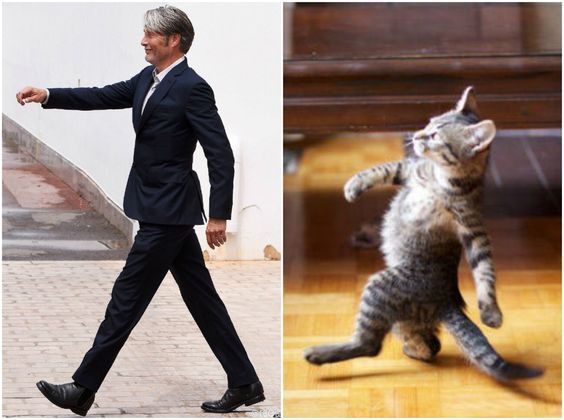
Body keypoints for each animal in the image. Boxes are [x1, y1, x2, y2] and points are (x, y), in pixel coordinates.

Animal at [306, 86, 544, 380]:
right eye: (429, 123)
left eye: (434, 135)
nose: (417, 134)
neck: (441, 179)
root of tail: (445, 302)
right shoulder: (410, 170)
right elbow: (381, 169)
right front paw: (354, 186)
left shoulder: (473, 227)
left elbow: (485, 269)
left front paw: (491, 313)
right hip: (401, 315)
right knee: (428, 344)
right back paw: (412, 348)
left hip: (381, 285)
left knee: (371, 346)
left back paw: (320, 353)